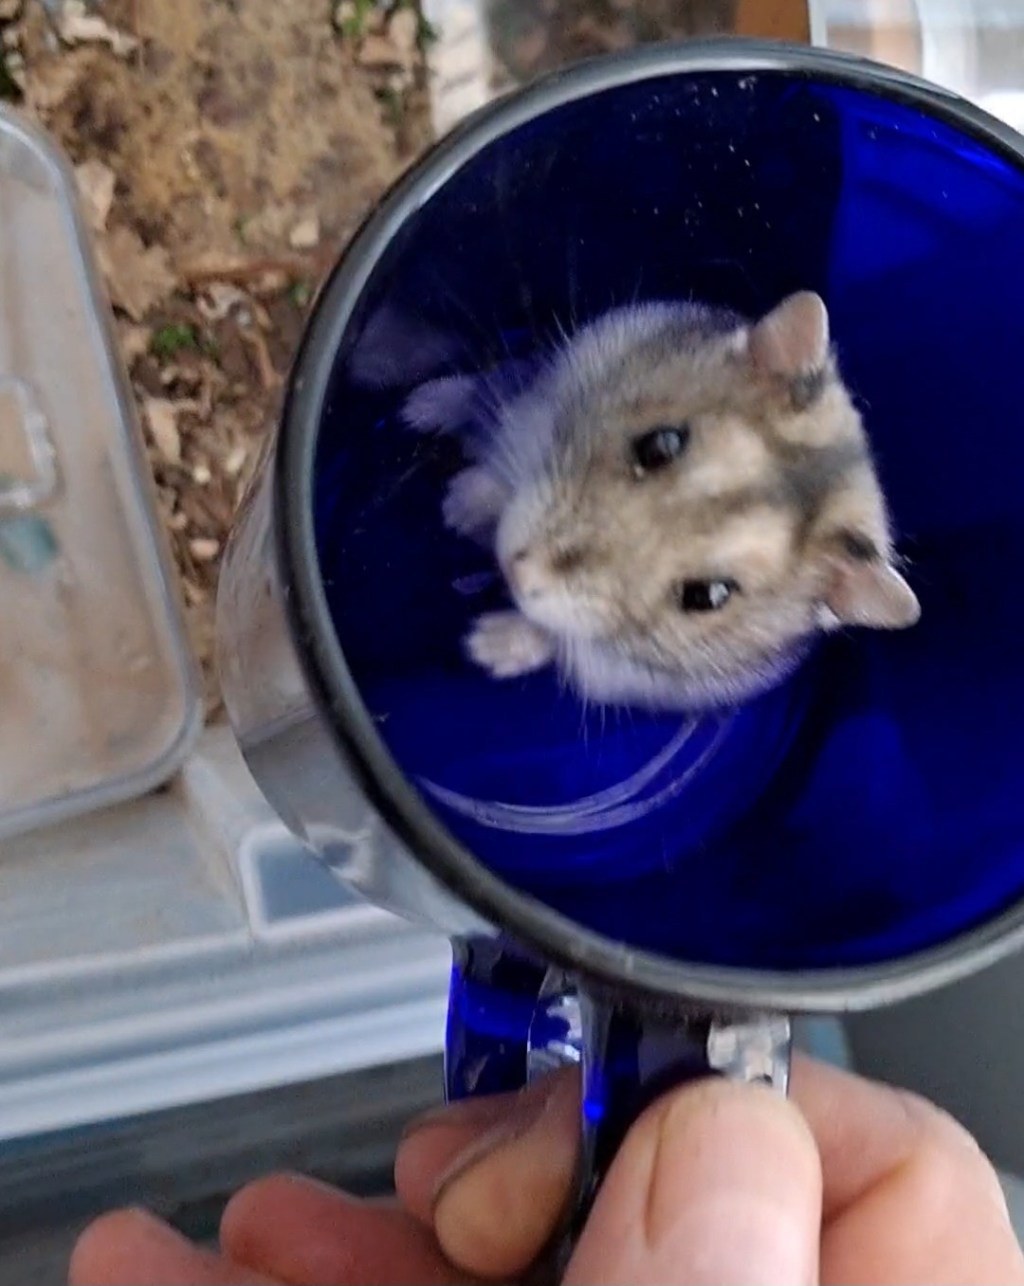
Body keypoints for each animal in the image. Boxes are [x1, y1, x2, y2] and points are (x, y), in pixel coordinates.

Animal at [402, 291, 920, 711]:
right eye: (661, 444)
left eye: (707, 596)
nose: (514, 571)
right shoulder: (543, 401)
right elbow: (499, 465)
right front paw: (457, 506)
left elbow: (549, 636)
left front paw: (481, 645)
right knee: (482, 386)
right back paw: (418, 408)